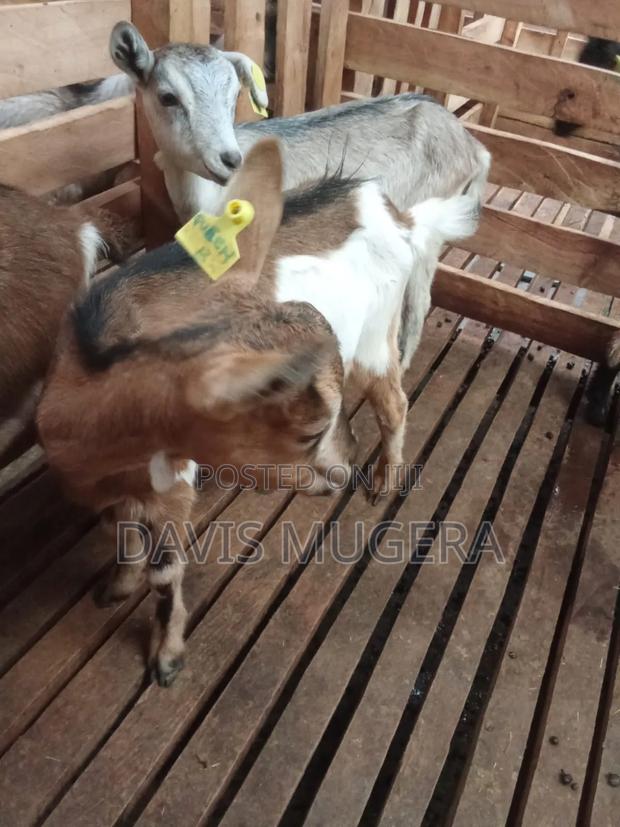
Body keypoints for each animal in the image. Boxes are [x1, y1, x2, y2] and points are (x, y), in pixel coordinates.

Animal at [37, 138, 479, 686]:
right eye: (301, 434)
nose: (337, 475)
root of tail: (396, 215)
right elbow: (121, 533)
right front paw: (115, 588)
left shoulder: (173, 487)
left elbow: (164, 573)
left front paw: (167, 657)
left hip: (376, 337)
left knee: (394, 403)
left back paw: (383, 482)